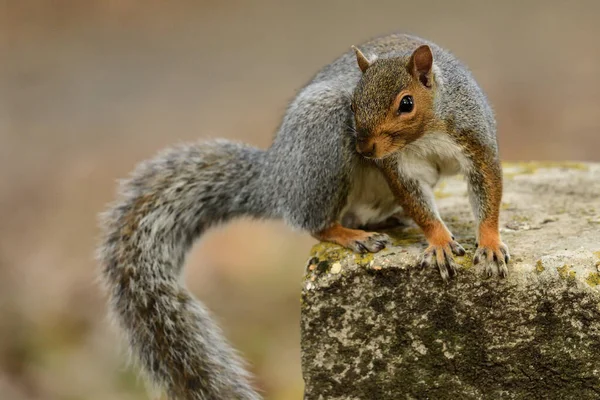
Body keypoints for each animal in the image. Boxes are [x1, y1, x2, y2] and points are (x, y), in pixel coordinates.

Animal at [98, 33, 510, 400]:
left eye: (406, 103)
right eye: (353, 104)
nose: (363, 147)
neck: (425, 134)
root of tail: (278, 177)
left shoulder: (474, 141)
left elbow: (488, 191)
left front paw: (489, 244)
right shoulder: (398, 167)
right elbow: (419, 204)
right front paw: (439, 241)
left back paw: (385, 223)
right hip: (322, 145)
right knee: (316, 223)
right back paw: (352, 236)